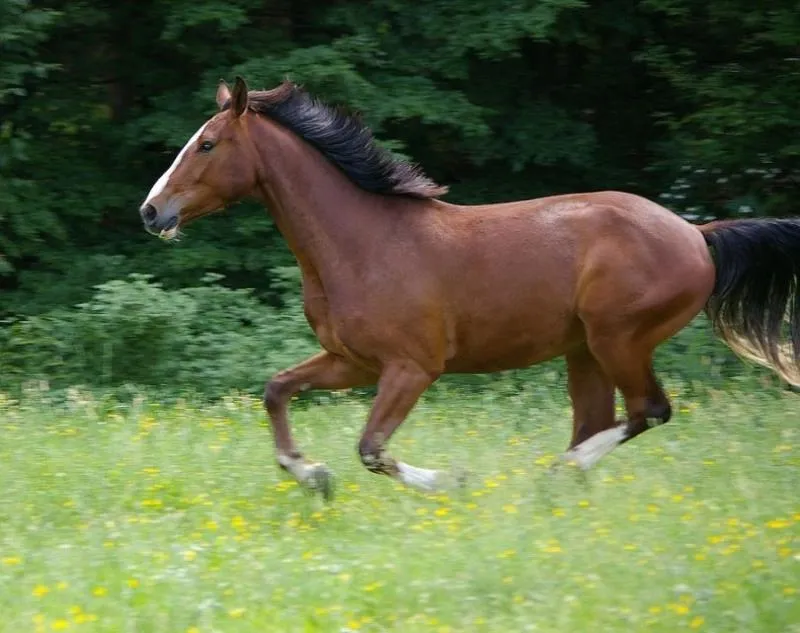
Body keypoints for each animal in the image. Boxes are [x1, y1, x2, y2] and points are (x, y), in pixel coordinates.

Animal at [138, 76, 800, 499]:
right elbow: (276, 390)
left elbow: (371, 448)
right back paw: (561, 485)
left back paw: (555, 473)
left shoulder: (412, 368)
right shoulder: (351, 362)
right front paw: (312, 475)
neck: (361, 243)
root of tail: (695, 234)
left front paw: (450, 481)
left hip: (620, 340)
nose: (151, 211)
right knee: (603, 420)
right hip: (584, 352)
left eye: (207, 144)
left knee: (648, 412)